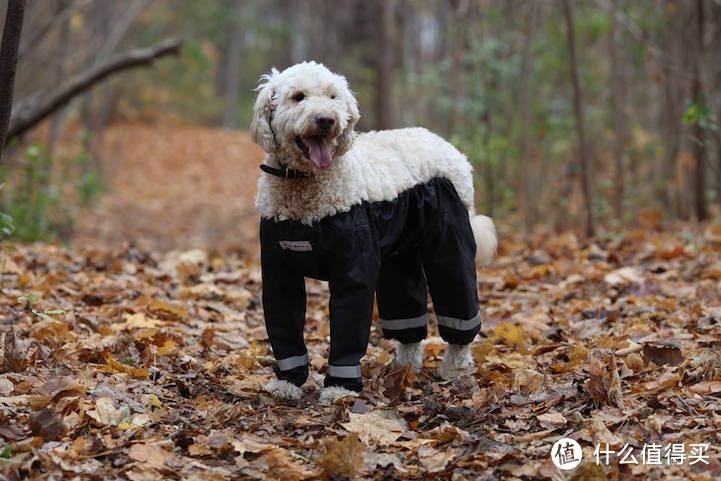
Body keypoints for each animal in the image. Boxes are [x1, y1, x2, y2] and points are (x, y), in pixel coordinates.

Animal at [249, 62, 496, 404]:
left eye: (333, 97)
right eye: (298, 96)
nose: (327, 120)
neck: (304, 183)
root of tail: (449, 148)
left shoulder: (354, 270)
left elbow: (349, 327)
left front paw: (339, 389)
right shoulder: (279, 272)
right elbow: (284, 329)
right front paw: (287, 383)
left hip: (450, 245)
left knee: (459, 305)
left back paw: (454, 367)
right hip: (399, 258)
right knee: (408, 320)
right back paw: (402, 369)